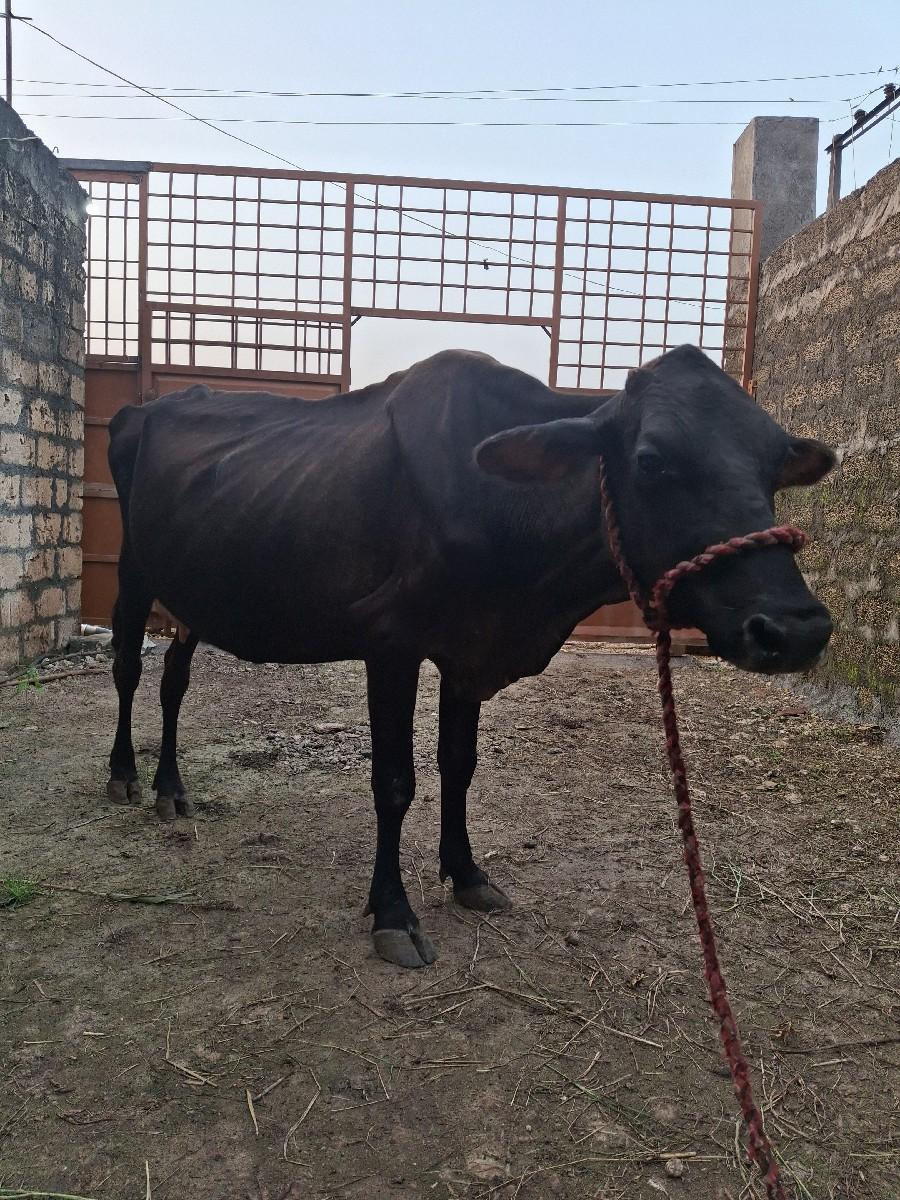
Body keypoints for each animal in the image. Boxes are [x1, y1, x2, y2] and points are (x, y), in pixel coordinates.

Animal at [105, 346, 834, 967]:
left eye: (775, 465)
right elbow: (395, 782)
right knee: (128, 668)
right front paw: (393, 914)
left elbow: (459, 767)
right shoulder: (389, 640)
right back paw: (124, 777)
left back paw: (171, 788)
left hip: (192, 592)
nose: (796, 629)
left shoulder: (469, 650)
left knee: (174, 679)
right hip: (135, 569)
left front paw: (466, 873)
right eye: (652, 459)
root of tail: (148, 406)